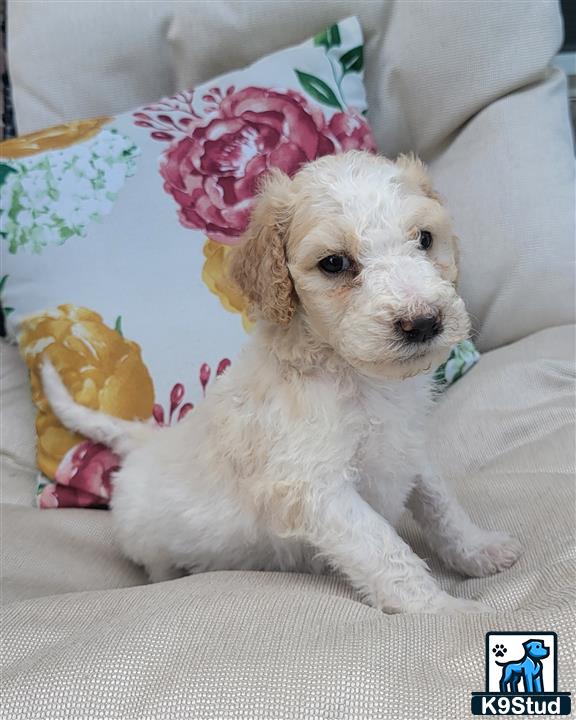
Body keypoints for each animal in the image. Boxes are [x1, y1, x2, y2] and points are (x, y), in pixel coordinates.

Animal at [40, 150, 520, 612]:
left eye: (424, 239)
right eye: (334, 264)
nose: (422, 323)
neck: (353, 374)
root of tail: (147, 442)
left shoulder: (408, 448)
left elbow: (441, 504)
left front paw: (480, 550)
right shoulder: (315, 487)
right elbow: (386, 551)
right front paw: (443, 610)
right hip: (150, 542)